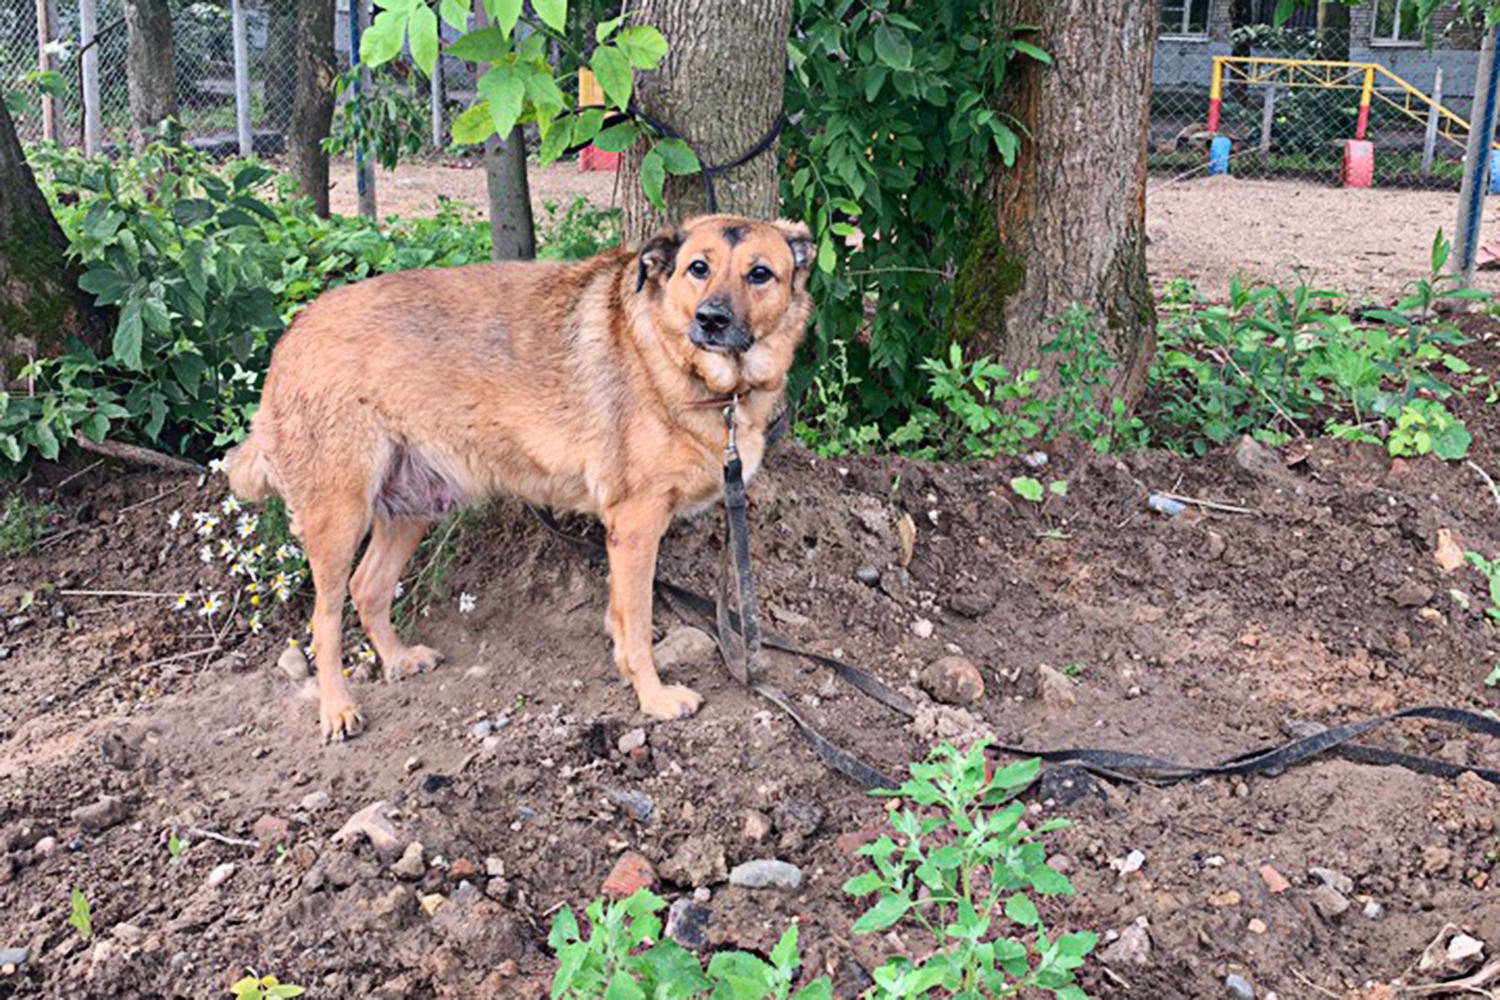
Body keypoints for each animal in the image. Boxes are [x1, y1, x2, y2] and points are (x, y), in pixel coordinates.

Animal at [225, 212, 810, 743]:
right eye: (697, 268)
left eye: (760, 274)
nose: (711, 320)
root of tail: (293, 331)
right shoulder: (635, 525)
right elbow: (638, 626)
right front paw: (653, 696)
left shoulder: (626, 535)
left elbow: (622, 617)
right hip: (339, 517)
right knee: (324, 620)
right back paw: (337, 708)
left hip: (413, 508)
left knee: (367, 588)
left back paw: (397, 659)